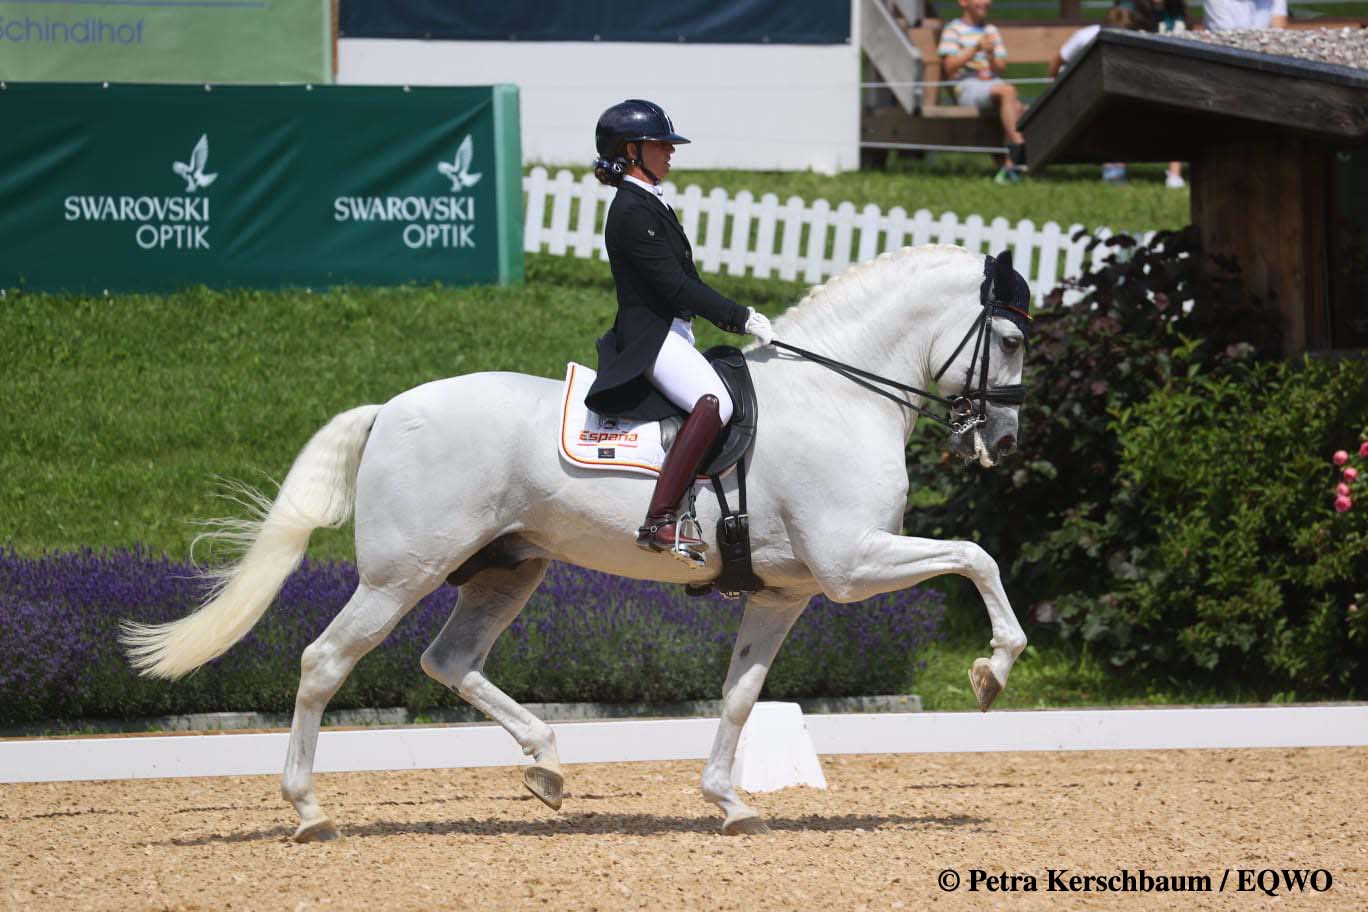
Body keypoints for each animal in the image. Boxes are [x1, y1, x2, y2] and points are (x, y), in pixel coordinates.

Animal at [125, 242, 1028, 842]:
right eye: (1015, 340)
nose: (1007, 442)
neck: (838, 394)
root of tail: (389, 408)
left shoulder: (786, 591)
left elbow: (740, 695)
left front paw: (729, 801)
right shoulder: (851, 563)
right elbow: (977, 556)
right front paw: (991, 671)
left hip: (507, 571)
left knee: (449, 661)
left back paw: (548, 767)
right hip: (400, 573)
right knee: (324, 662)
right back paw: (310, 810)